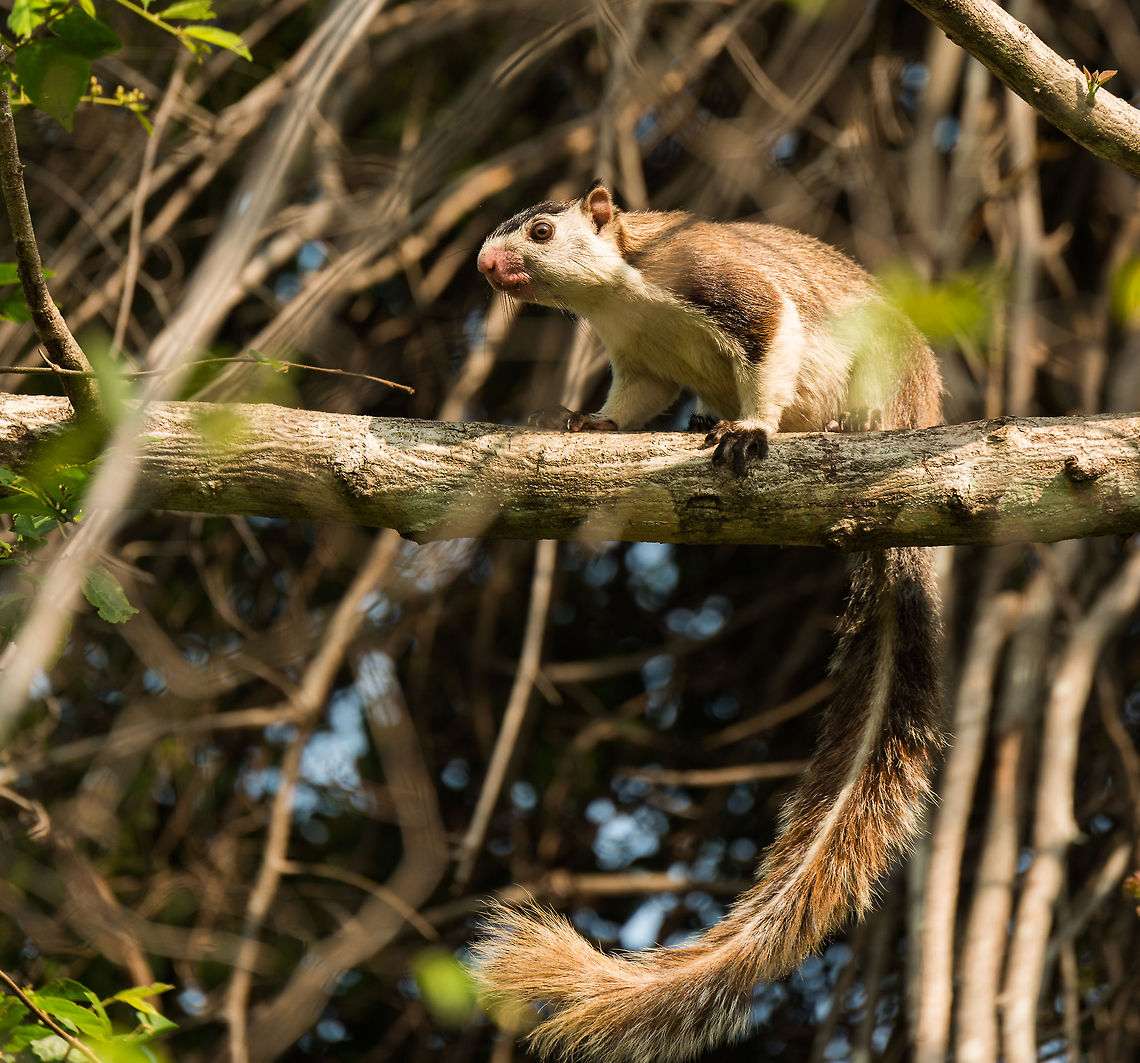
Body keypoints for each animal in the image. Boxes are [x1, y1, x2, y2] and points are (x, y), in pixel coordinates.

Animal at [473, 183, 945, 1062]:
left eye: (542, 231)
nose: (486, 264)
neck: (621, 296)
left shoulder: (721, 284)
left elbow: (771, 336)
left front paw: (750, 429)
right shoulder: (639, 361)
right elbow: (634, 401)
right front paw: (590, 422)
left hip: (888, 382)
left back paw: (833, 429)